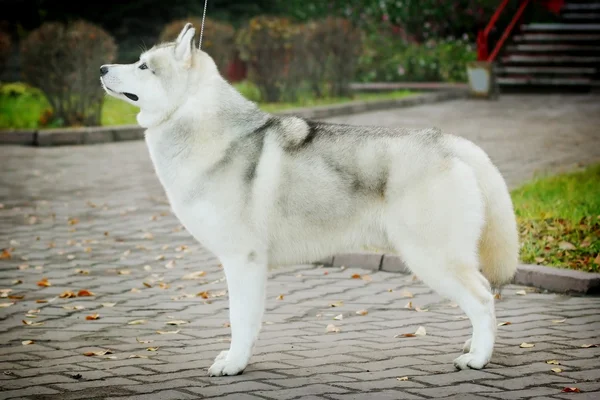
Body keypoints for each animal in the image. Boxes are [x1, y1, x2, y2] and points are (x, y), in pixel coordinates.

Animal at [99, 23, 520, 376]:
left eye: (143, 66)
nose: (102, 68)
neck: (201, 125)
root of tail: (450, 142)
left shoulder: (242, 261)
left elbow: (239, 320)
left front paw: (234, 365)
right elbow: (247, 322)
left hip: (431, 258)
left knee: (484, 299)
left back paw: (478, 358)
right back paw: (475, 345)